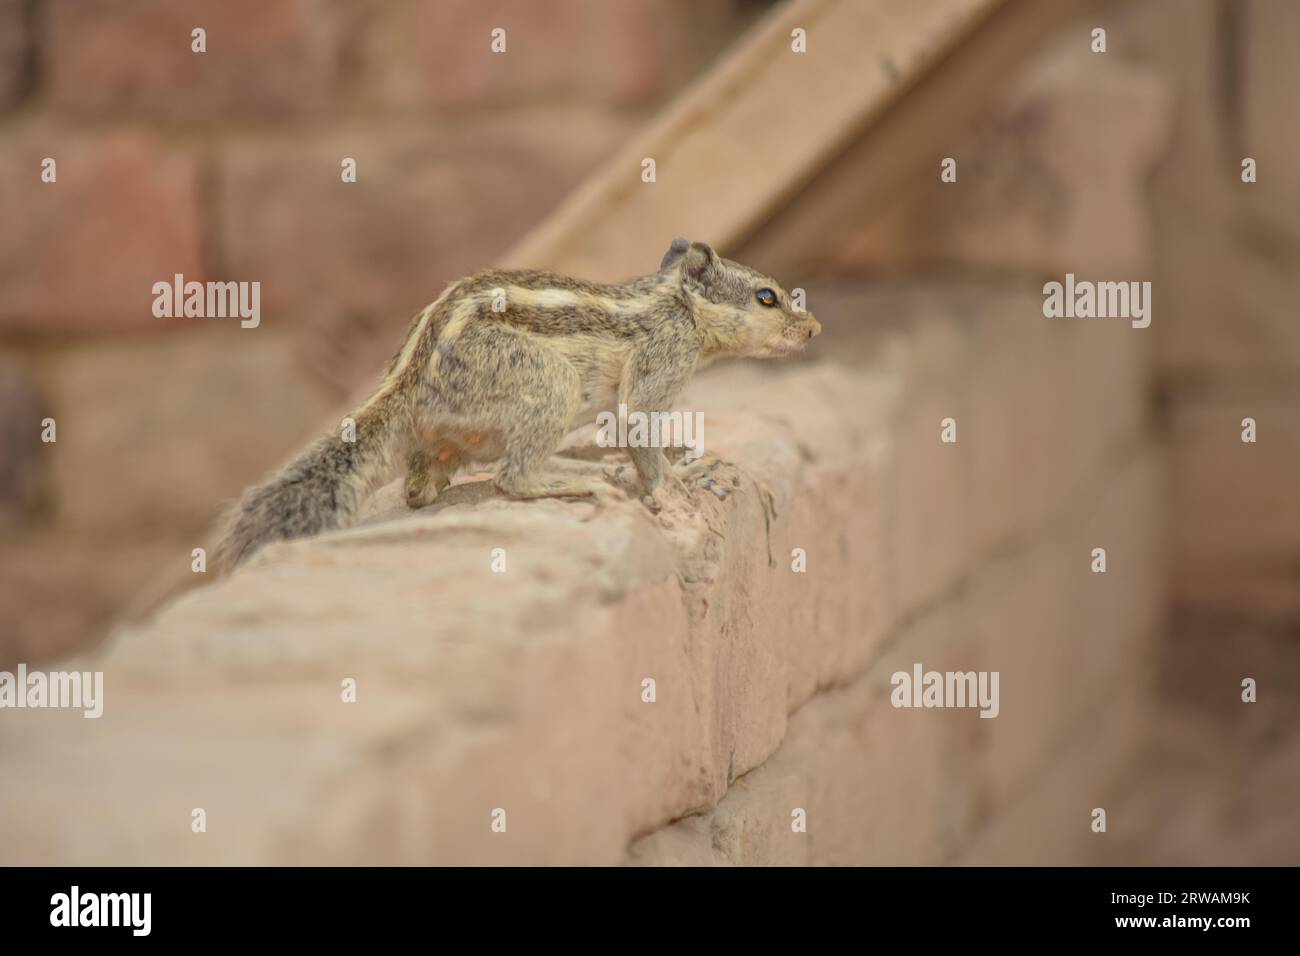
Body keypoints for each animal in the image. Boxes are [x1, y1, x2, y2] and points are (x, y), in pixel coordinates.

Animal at [214, 239, 821, 572]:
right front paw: (676, 484)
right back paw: (572, 482)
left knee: (419, 490)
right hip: (548, 383)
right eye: (767, 297)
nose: (814, 328)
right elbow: (639, 431)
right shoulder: (660, 363)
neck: (677, 305)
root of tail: (405, 385)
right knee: (512, 478)